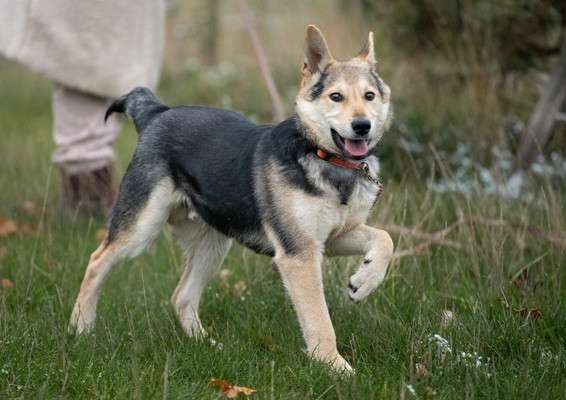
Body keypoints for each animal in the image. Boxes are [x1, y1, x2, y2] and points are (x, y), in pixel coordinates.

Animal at [70, 26, 394, 374]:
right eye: (336, 97)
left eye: (369, 96)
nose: (362, 126)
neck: (326, 160)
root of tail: (157, 113)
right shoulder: (299, 252)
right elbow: (319, 319)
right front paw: (334, 366)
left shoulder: (331, 239)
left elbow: (384, 239)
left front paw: (364, 282)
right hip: (142, 228)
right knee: (97, 260)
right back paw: (81, 327)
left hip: (213, 244)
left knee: (181, 296)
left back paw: (205, 345)